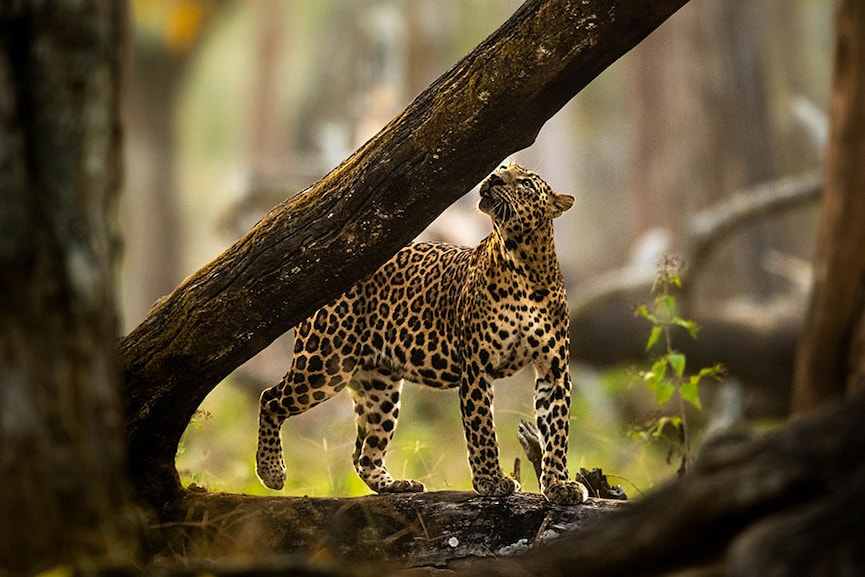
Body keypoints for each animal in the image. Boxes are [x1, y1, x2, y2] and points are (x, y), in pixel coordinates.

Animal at [256, 162, 592, 504]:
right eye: (502, 168)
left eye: (525, 183)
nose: (493, 178)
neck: (523, 261)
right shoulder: (477, 366)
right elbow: (482, 430)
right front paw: (491, 481)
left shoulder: (554, 370)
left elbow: (557, 432)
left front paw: (559, 485)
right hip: (325, 362)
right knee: (270, 398)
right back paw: (271, 471)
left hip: (379, 385)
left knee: (364, 455)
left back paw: (396, 485)